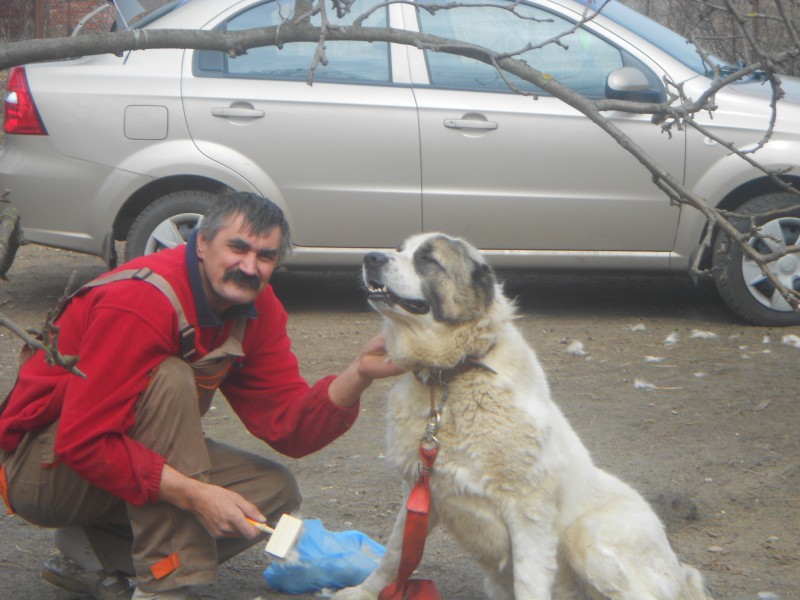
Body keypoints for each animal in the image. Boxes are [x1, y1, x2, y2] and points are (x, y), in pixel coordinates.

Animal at [333, 233, 712, 600]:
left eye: (427, 259)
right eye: (399, 249)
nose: (371, 257)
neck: (452, 377)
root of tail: (681, 574)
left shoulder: (529, 513)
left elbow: (529, 582)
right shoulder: (420, 493)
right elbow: (394, 557)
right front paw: (362, 593)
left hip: (585, 537)